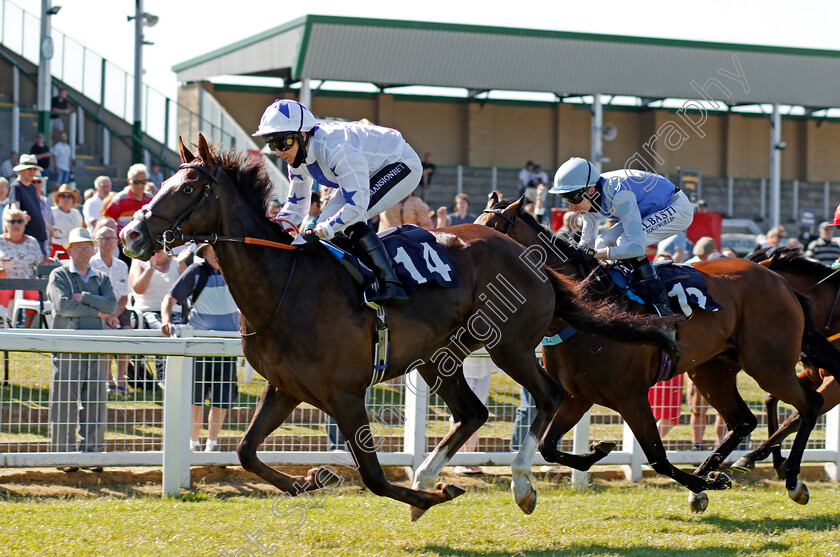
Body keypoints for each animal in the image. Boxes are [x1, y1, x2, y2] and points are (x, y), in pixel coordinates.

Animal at [118, 137, 676, 520]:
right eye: (162, 183)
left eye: (189, 187)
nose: (130, 235)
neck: (284, 285)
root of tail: (531, 257)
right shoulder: (284, 388)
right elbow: (245, 451)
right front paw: (312, 480)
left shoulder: (345, 394)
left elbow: (372, 477)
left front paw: (429, 497)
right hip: (439, 357)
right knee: (473, 412)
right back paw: (436, 473)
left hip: (509, 346)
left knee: (548, 396)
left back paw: (520, 484)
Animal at [732, 249, 840, 478]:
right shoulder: (811, 374)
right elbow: (770, 398)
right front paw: (776, 459)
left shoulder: (836, 384)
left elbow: (796, 416)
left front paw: (751, 456)